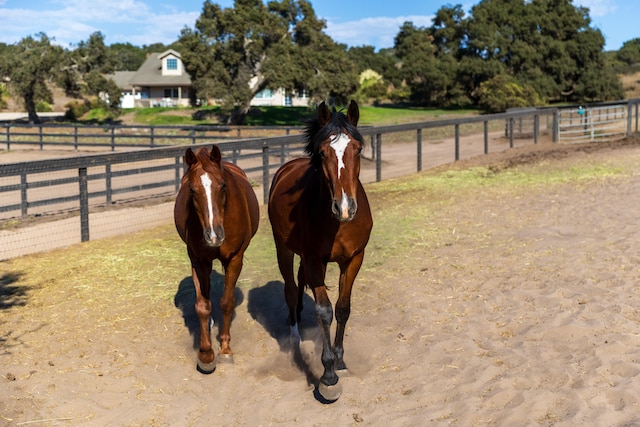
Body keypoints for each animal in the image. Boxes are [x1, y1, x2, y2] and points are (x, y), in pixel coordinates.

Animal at [175, 145, 260, 372]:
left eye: (222, 186)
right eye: (192, 190)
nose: (214, 235)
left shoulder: (235, 259)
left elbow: (226, 302)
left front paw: (225, 349)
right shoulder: (198, 260)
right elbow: (202, 306)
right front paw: (206, 354)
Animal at [268, 100, 372, 402]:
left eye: (357, 149)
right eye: (323, 152)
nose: (345, 207)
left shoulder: (354, 259)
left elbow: (343, 308)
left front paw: (340, 360)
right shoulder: (315, 260)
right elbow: (324, 311)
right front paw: (328, 376)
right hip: (284, 249)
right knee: (291, 290)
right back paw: (295, 339)